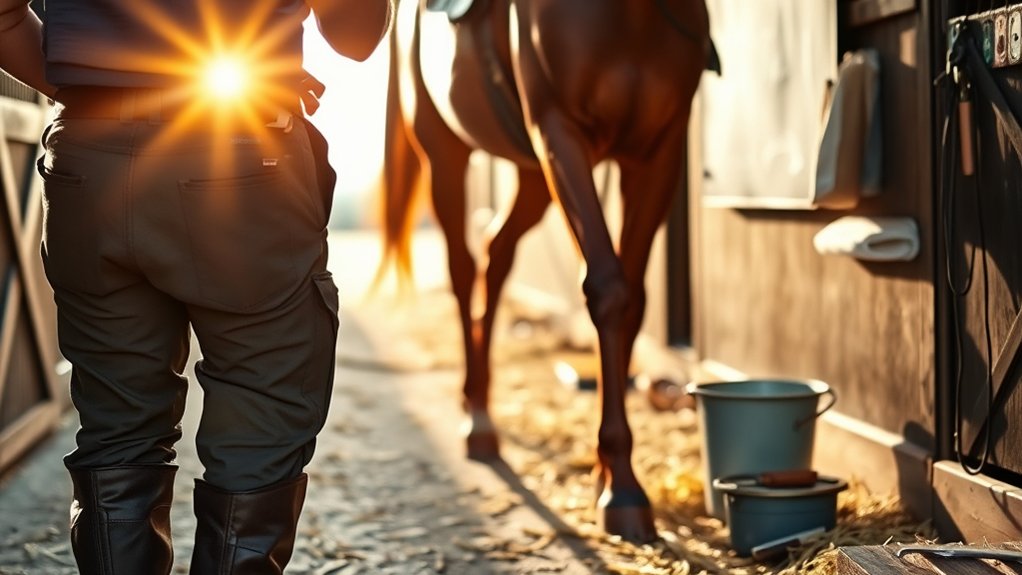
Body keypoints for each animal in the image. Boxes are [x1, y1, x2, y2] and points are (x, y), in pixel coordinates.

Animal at [375, 0, 716, 542]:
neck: (629, 14)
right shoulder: (560, 134)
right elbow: (608, 289)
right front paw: (622, 488)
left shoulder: (655, 155)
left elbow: (633, 301)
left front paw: (606, 472)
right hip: (445, 153)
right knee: (464, 271)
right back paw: (477, 421)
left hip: (532, 174)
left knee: (495, 255)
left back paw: (480, 408)